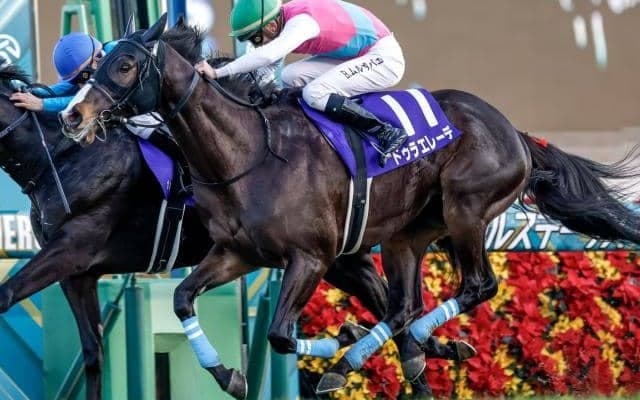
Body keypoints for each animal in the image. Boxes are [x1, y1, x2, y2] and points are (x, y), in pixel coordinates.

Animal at [0, 33, 472, 400]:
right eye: (83, 79)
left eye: (113, 69)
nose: (73, 116)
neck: (61, 158)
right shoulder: (77, 274)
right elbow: (93, 356)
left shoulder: (74, 248)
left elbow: (7, 295)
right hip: (341, 255)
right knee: (390, 302)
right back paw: (428, 353)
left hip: (330, 254)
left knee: (390, 302)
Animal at [60, 14, 640, 396]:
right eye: (95, 65)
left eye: (126, 64)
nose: (72, 115)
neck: (247, 153)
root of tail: (516, 132)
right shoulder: (238, 254)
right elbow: (183, 299)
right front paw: (229, 374)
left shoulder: (311, 257)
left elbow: (279, 334)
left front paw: (342, 337)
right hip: (407, 233)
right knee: (404, 306)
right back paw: (388, 352)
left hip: (466, 210)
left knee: (474, 287)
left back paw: (395, 348)